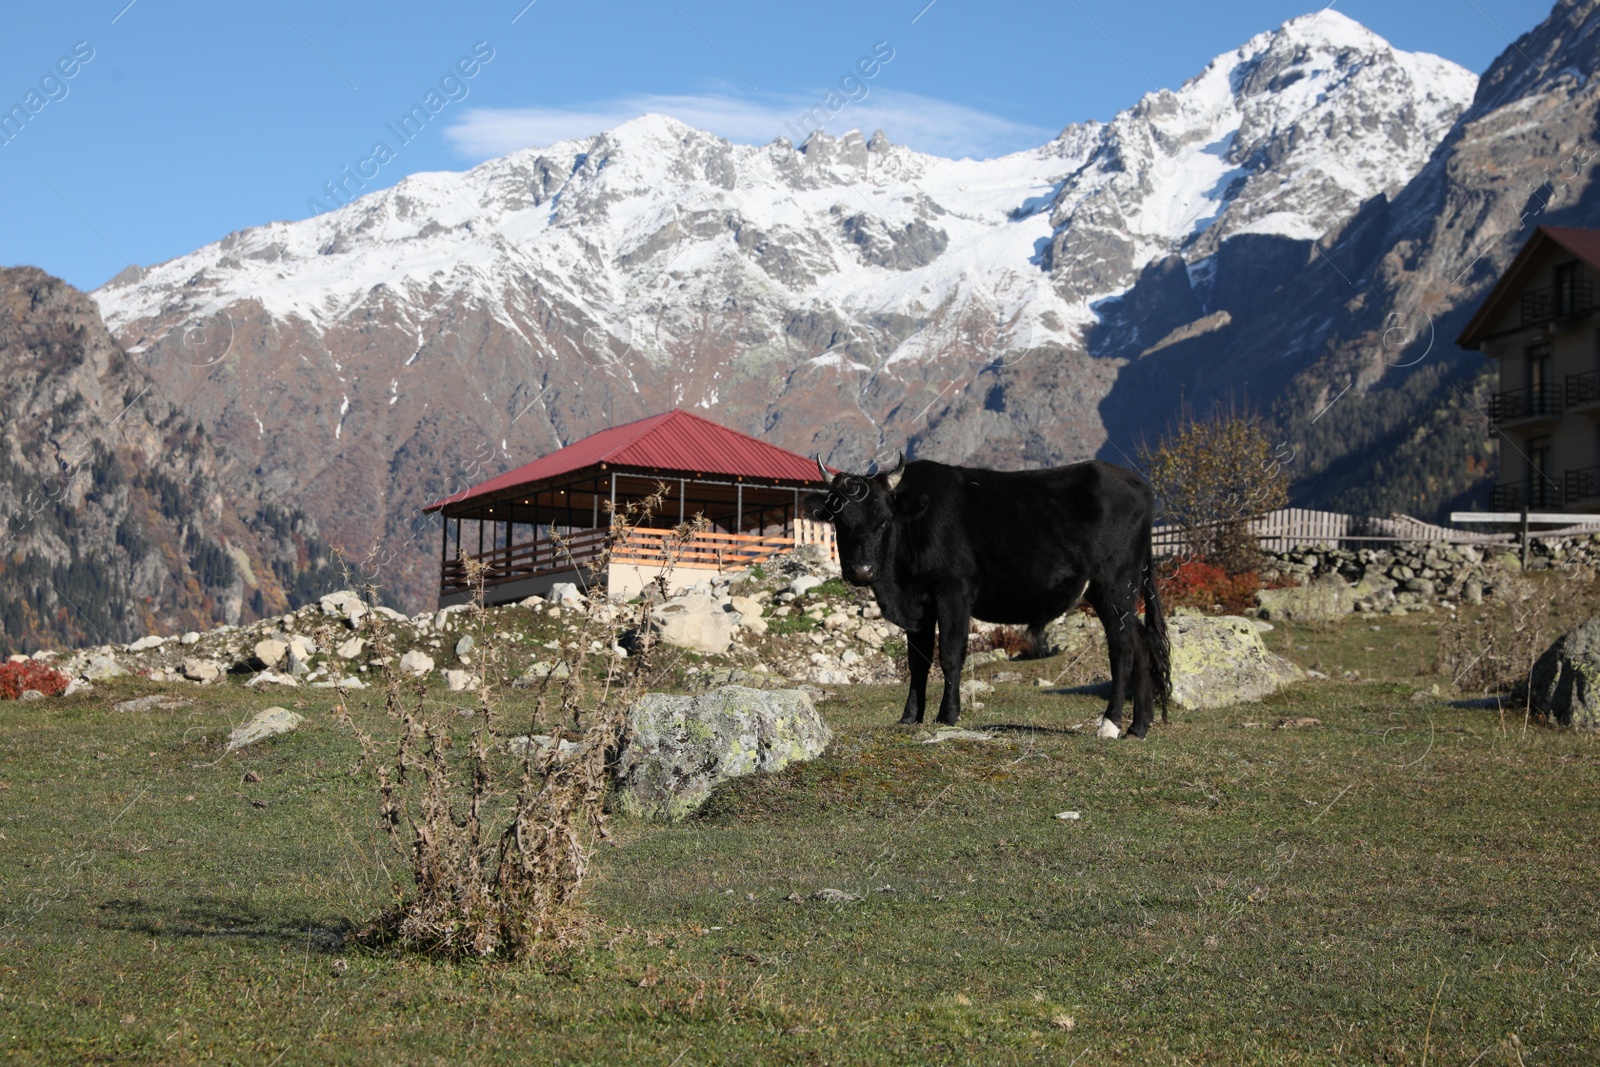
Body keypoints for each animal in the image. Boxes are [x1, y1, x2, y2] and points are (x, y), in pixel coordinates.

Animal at [806, 454, 1171, 739]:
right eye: (840, 520)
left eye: (884, 520)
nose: (861, 570)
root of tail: (1138, 485)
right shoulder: (918, 606)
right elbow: (918, 662)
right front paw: (909, 717)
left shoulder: (954, 592)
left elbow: (950, 655)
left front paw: (947, 715)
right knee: (1141, 642)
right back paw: (1138, 727)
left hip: (1114, 585)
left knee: (1122, 648)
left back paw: (1110, 724)